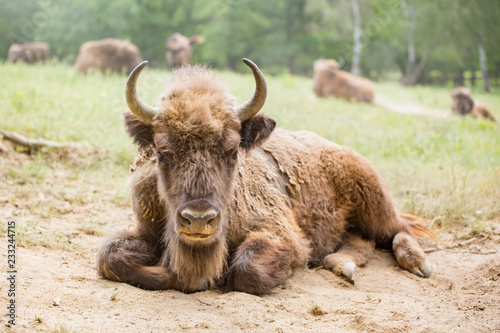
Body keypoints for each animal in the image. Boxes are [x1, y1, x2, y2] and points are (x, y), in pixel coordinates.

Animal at [96, 58, 430, 294]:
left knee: (399, 230)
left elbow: (247, 269)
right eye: (163, 154)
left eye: (232, 152)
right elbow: (109, 255)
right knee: (362, 240)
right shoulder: (146, 231)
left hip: (376, 205)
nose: (199, 220)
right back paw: (343, 265)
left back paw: (418, 264)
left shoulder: (282, 235)